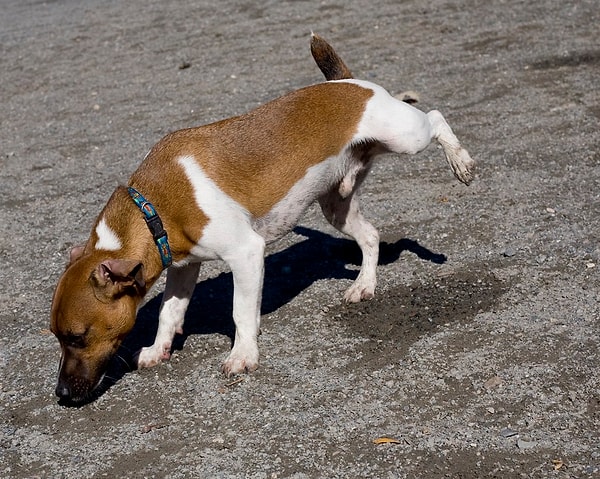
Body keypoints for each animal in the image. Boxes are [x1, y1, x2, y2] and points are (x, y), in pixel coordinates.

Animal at [50, 32, 474, 404]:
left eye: (77, 337)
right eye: (57, 336)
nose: (62, 394)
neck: (152, 206)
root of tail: (344, 81)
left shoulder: (246, 254)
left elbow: (241, 313)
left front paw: (243, 356)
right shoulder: (183, 268)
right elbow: (170, 313)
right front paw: (158, 349)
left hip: (406, 138)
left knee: (435, 118)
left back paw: (461, 164)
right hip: (336, 206)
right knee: (370, 236)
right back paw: (363, 286)